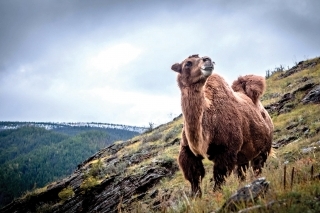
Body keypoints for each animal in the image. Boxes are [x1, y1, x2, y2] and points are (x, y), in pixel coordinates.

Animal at [171, 54, 274, 196]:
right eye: (187, 63)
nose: (208, 60)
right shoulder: (187, 150)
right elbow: (194, 176)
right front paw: (196, 197)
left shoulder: (227, 150)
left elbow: (219, 176)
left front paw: (217, 195)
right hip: (244, 154)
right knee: (242, 170)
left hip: (264, 147)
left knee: (257, 165)